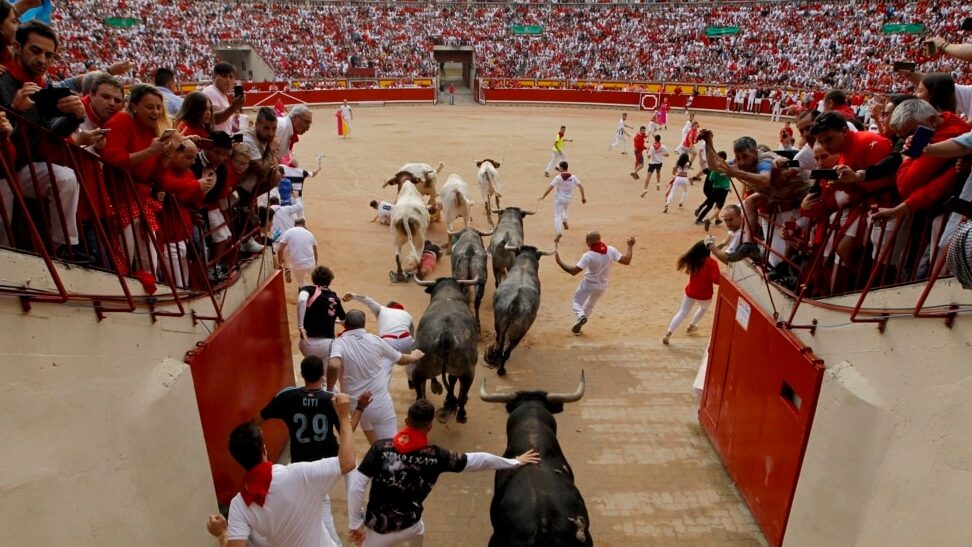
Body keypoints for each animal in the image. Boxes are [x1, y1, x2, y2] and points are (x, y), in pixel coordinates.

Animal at [412, 278, 480, 424]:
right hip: (468, 372)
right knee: (463, 394)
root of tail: (446, 334)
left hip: (421, 367)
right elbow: (452, 381)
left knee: (419, 390)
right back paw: (460, 413)